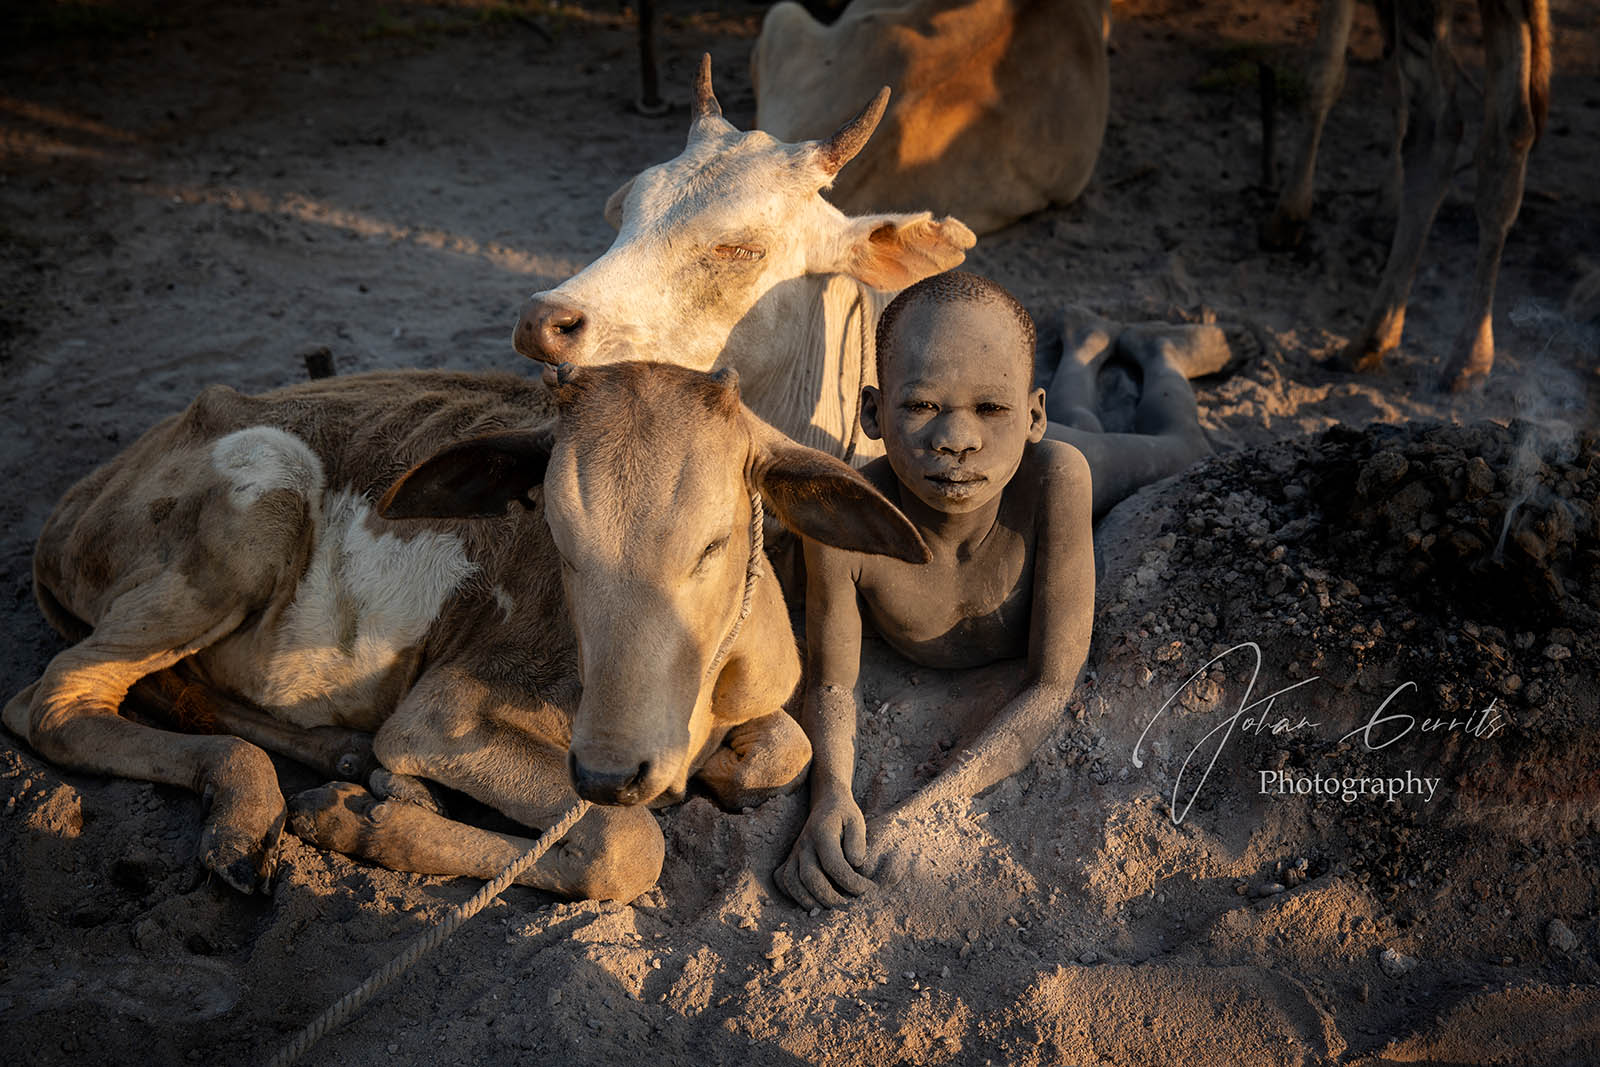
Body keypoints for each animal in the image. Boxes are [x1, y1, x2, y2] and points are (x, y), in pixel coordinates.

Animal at [3, 363, 929, 901]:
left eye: (715, 542)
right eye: (554, 535)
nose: (609, 769)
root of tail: (81, 495)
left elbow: (786, 748)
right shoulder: (440, 714)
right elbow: (630, 844)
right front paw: (361, 820)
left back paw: (337, 762)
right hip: (260, 499)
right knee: (51, 703)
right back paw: (260, 805)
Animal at [1264, 0, 1551, 391]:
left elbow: (1324, 71)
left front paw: (1290, 213)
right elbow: (1389, 82)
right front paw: (1387, 204)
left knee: (1439, 126)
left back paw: (1372, 338)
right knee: (1510, 133)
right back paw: (1471, 357)